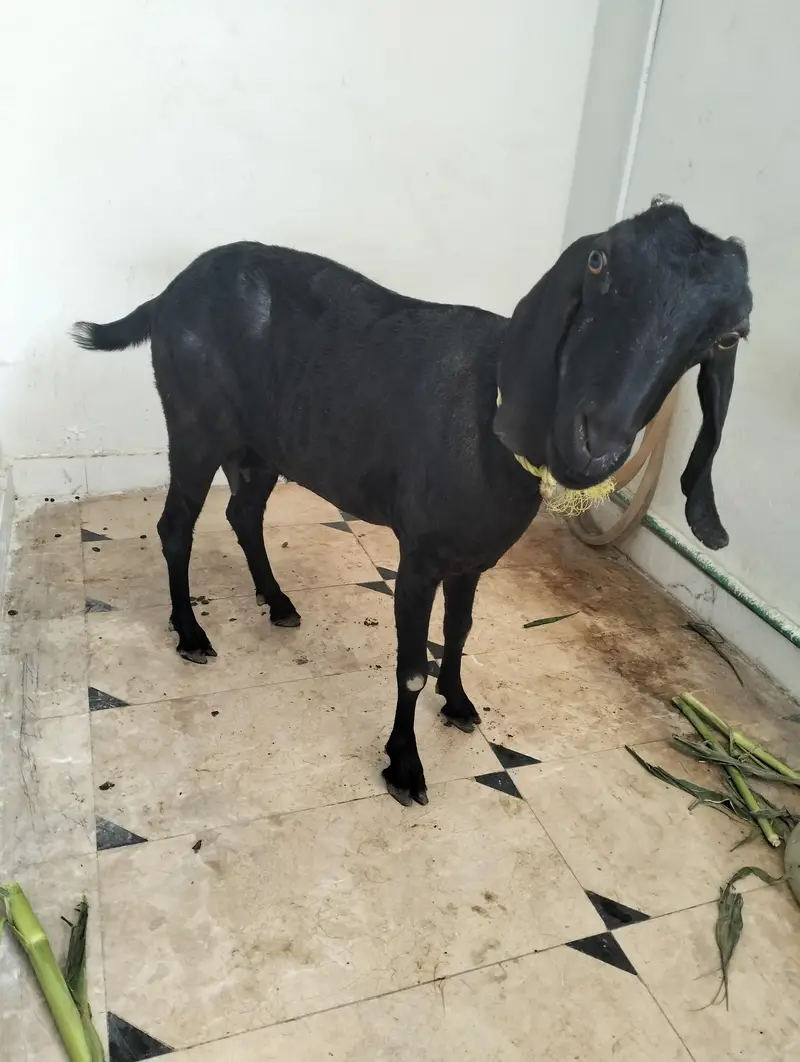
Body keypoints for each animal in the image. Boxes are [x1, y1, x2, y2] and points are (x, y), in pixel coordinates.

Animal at [73, 198, 752, 807]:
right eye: (597, 261)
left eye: (728, 335)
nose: (597, 444)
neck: (487, 413)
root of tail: (167, 295)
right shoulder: (419, 558)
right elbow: (410, 667)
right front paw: (404, 766)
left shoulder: (474, 558)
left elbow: (459, 631)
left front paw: (459, 702)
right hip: (194, 428)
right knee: (174, 526)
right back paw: (191, 633)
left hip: (263, 445)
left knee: (243, 512)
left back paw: (278, 602)